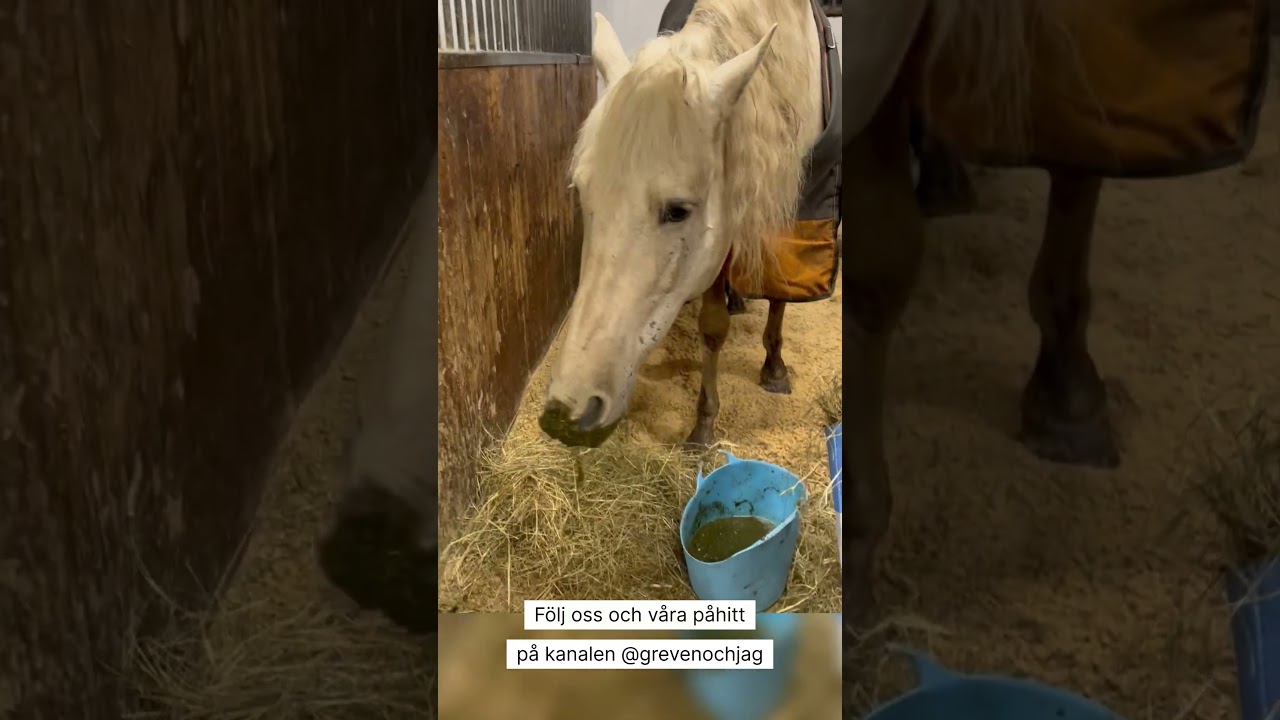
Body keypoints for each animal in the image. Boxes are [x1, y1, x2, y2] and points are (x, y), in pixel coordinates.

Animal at [538, 0, 834, 451]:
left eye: (677, 210)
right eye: (582, 193)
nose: (564, 413)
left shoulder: (789, 212)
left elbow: (779, 294)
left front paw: (773, 367)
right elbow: (712, 328)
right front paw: (704, 423)